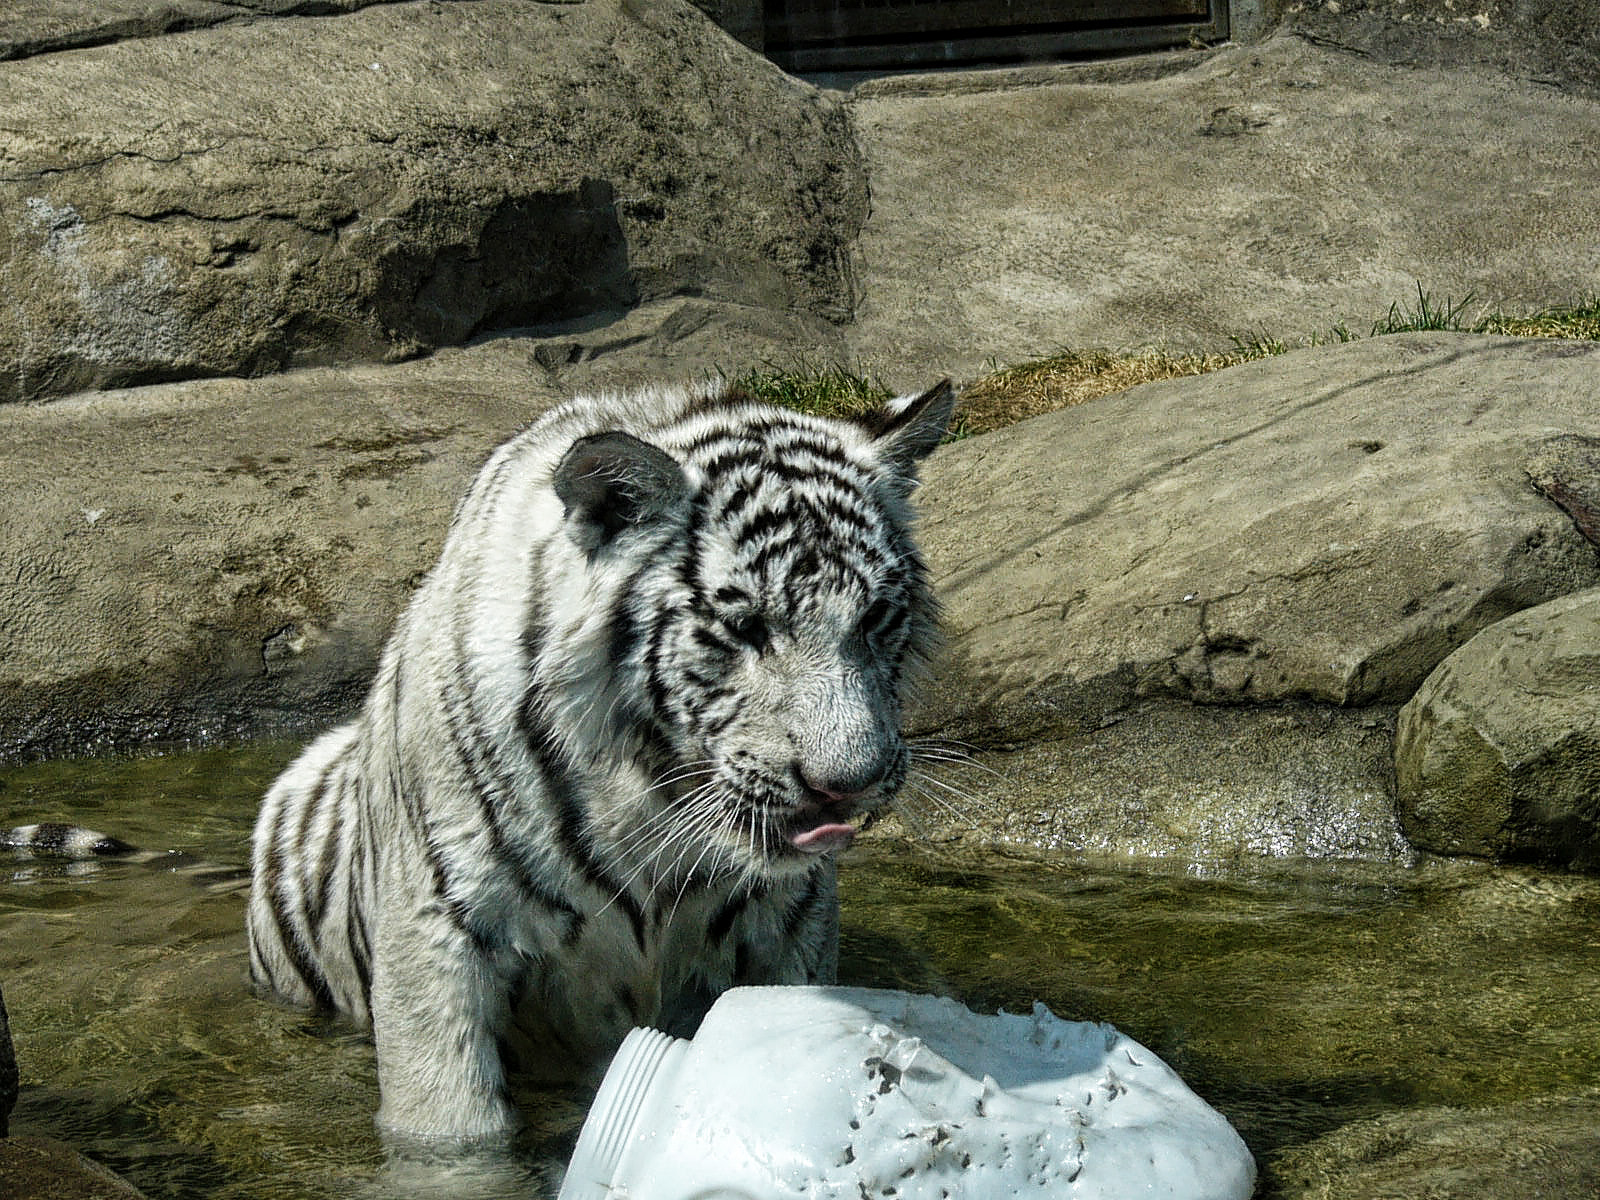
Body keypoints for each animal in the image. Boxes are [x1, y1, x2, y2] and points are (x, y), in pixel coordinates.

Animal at [243, 376, 953, 1145]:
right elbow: (449, 1128)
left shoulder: (790, 926)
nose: (847, 787)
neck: (652, 797)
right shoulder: (437, 930)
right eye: (745, 628)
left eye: (874, 619)